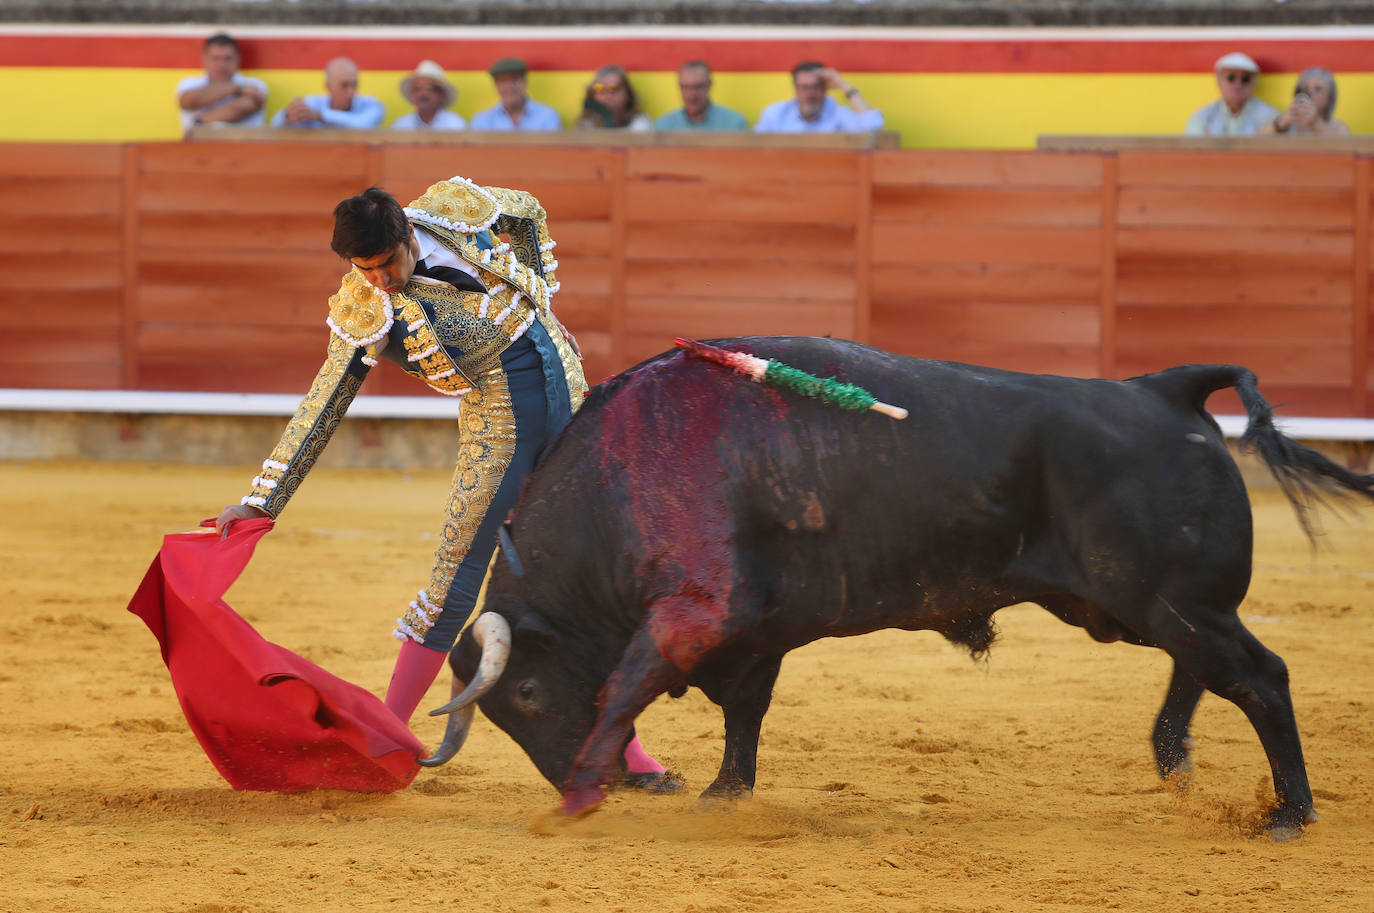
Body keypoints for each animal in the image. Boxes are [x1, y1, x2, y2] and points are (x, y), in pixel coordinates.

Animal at [423, 335, 1368, 836]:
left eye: (530, 694)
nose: (596, 783)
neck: (620, 481)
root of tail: (1166, 389)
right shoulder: (754, 631)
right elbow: (744, 710)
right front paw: (727, 793)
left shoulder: (696, 610)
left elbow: (624, 685)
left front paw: (580, 796)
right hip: (1135, 605)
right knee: (1204, 666)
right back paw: (1173, 758)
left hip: (1163, 598)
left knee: (1260, 674)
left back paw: (1290, 811)